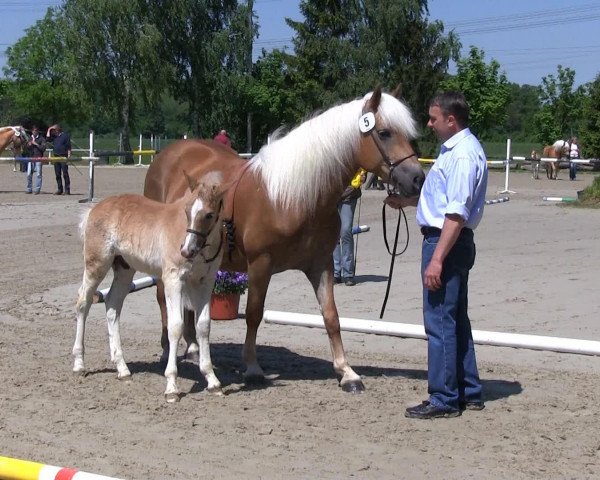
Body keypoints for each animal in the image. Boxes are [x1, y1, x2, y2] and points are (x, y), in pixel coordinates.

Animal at [73, 171, 227, 404]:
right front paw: (171, 387)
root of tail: (95, 208)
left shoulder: (204, 282)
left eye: (209, 215)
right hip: (97, 263)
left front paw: (212, 380)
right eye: (186, 211)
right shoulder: (173, 279)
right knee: (83, 302)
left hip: (124, 268)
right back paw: (79, 364)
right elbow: (175, 326)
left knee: (112, 305)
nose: (186, 250)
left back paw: (122, 369)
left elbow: (203, 326)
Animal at [144, 86, 426, 394]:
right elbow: (254, 314)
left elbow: (331, 316)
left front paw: (347, 372)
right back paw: (165, 351)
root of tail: (168, 154)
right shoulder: (260, 265)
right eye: (385, 133)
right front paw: (252, 368)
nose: (417, 178)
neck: (291, 198)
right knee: (163, 299)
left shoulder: (321, 264)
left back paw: (195, 349)